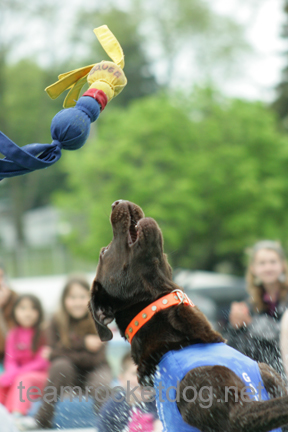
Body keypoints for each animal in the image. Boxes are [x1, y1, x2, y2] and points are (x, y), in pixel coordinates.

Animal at [89, 201, 288, 430]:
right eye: (104, 252)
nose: (117, 202)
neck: (185, 341)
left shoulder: (270, 377)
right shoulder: (235, 415)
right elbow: (279, 405)